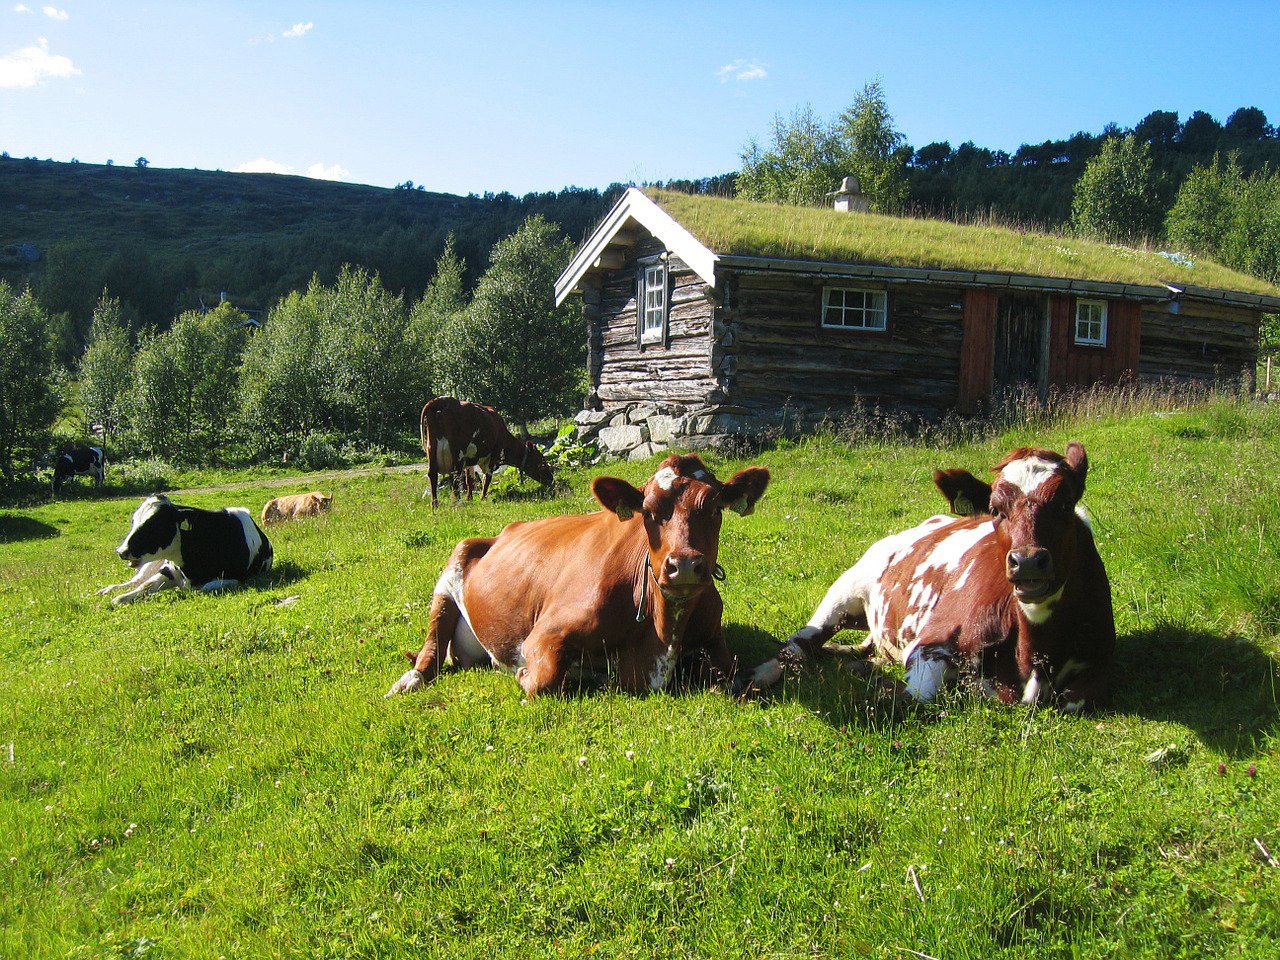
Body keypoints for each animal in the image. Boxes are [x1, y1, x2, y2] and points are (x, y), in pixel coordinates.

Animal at [97, 499, 275, 604]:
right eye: (133, 521)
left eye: (155, 524)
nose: (121, 550)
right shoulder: (167, 569)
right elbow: (145, 586)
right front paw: (120, 598)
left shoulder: (237, 578)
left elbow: (204, 588)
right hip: (151, 564)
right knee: (136, 581)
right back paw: (107, 590)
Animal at [386, 455, 768, 696]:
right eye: (647, 511)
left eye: (715, 507)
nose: (685, 564)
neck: (660, 642)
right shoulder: (543, 636)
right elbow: (542, 680)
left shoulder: (713, 638)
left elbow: (732, 677)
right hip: (454, 564)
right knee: (432, 645)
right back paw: (411, 679)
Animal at [419, 396, 555, 506]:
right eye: (542, 462)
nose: (551, 479)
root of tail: (443, 399)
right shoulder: (495, 453)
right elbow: (487, 477)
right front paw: (482, 498)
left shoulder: (469, 459)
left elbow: (469, 479)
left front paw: (470, 499)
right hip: (457, 452)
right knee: (455, 476)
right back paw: (457, 502)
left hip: (432, 449)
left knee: (432, 474)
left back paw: (435, 504)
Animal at [747, 442, 1116, 716]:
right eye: (996, 510)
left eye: (1065, 503)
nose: (1026, 562)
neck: (1033, 653)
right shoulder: (931, 644)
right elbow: (917, 696)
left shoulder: (1100, 663)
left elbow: (1074, 699)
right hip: (845, 591)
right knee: (798, 645)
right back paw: (759, 675)